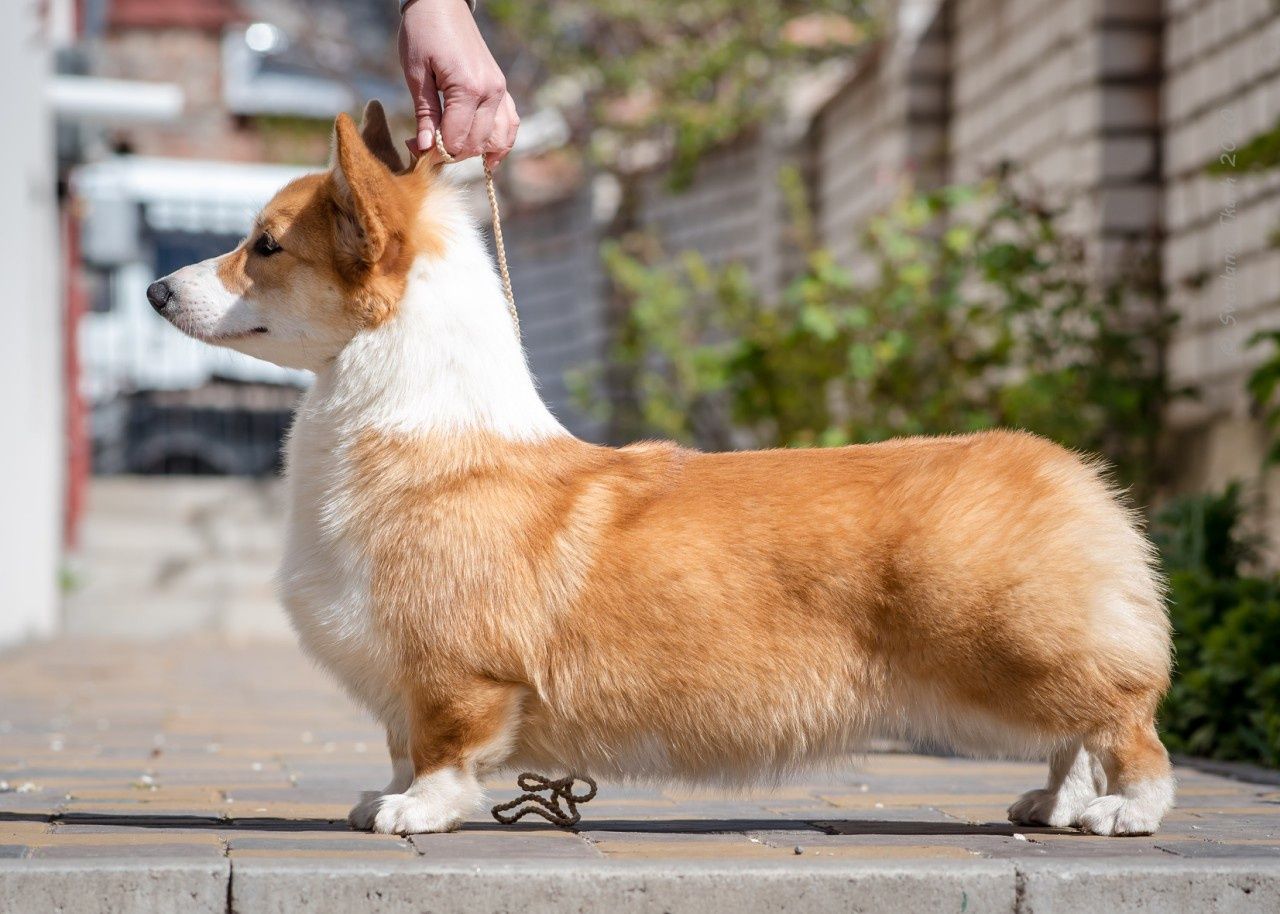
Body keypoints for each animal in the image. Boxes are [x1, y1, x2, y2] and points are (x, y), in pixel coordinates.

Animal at [145, 99, 1172, 834]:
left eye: (265, 246)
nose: (155, 290)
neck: (411, 414)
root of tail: (1071, 472)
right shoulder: (401, 680)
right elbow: (399, 744)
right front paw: (378, 798)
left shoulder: (453, 674)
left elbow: (441, 753)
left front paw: (415, 813)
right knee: (1073, 740)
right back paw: (1057, 805)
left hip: (1014, 657)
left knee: (1125, 720)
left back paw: (1124, 811)